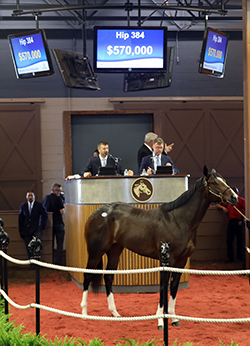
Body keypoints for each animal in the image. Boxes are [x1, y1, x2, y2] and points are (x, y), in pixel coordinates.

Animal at [81, 169, 238, 328]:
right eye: (214, 182)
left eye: (224, 180)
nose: (234, 197)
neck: (178, 220)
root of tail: (96, 213)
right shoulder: (166, 261)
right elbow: (163, 288)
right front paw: (160, 321)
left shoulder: (181, 262)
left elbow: (173, 287)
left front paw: (174, 319)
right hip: (95, 252)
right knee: (87, 275)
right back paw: (84, 314)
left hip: (114, 251)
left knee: (108, 277)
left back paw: (115, 313)